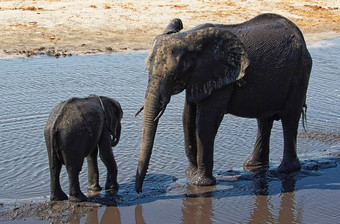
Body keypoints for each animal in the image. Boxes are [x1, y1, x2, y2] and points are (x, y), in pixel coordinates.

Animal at [134, 13, 312, 192]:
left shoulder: (221, 79)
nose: (139, 190)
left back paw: (287, 170)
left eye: (175, 72)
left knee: (289, 118)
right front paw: (191, 174)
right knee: (264, 120)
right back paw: (253, 166)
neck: (188, 37)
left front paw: (199, 184)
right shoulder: (198, 78)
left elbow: (206, 121)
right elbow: (187, 118)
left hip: (300, 71)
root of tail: (299, 34)